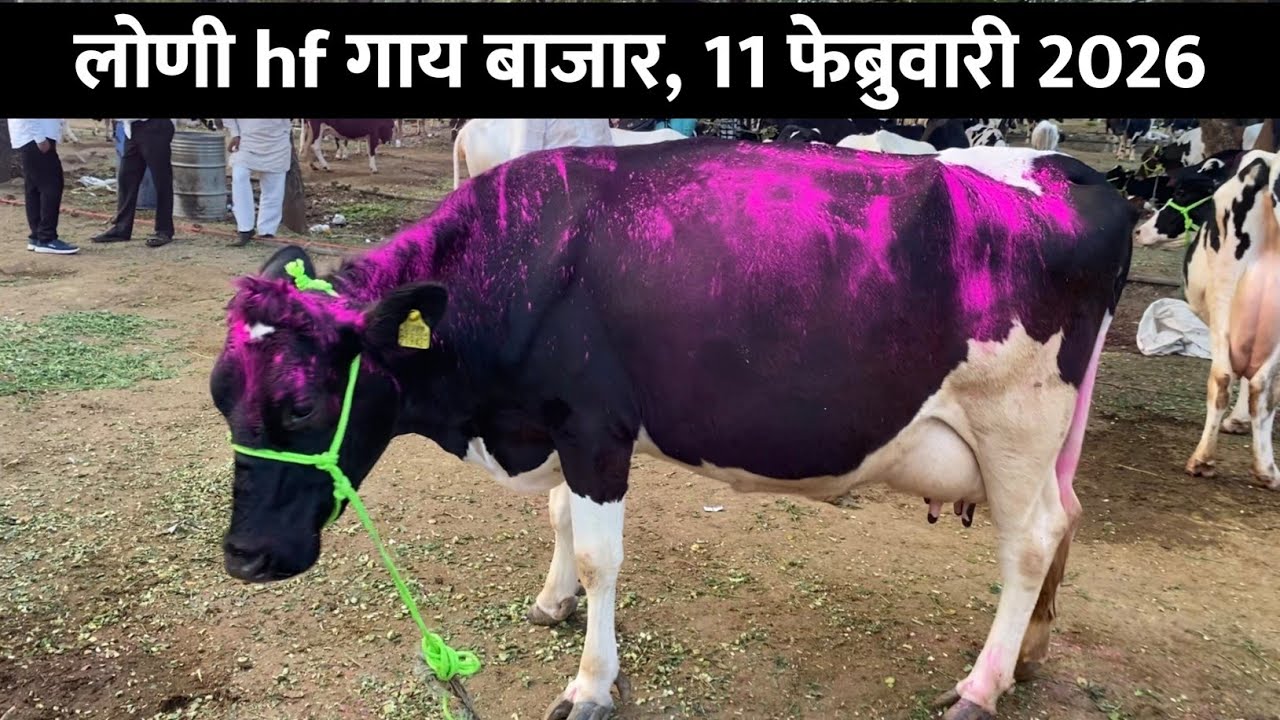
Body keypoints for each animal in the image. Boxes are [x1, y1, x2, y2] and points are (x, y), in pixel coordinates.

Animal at [212, 139, 1135, 720]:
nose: (243, 557)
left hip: (1015, 420)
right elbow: (560, 519)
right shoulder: (555, 423)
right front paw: (552, 601)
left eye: (303, 403)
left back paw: (981, 686)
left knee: (1030, 541)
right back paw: (1030, 654)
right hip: (1045, 439)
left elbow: (600, 555)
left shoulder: (594, 427)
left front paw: (590, 685)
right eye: (222, 395)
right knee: (1068, 518)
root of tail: (1074, 174)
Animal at [1133, 150, 1280, 489]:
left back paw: (1207, 460)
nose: (1139, 231)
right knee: (1259, 385)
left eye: (1180, 191)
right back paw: (1261, 469)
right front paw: (1239, 421)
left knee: (1230, 378)